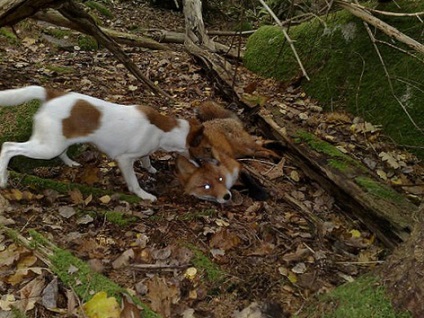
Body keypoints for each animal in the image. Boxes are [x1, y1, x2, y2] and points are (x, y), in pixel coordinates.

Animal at [0, 85, 204, 201]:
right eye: (204, 153)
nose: (202, 167)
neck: (165, 130)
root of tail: (52, 95)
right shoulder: (124, 160)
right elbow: (134, 182)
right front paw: (144, 195)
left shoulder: (144, 152)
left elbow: (146, 159)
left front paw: (151, 169)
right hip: (47, 148)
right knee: (8, 147)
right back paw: (3, 179)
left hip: (57, 142)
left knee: (61, 152)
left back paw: (71, 163)